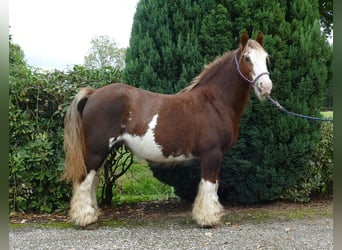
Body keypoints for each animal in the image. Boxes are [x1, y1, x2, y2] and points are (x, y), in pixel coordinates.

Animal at [63, 31, 272, 229]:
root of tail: (93, 94)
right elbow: (209, 185)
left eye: (266, 58)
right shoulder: (212, 153)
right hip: (97, 150)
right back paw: (84, 218)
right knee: (84, 181)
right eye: (247, 58)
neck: (213, 102)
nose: (266, 87)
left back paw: (93, 215)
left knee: (92, 181)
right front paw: (208, 219)